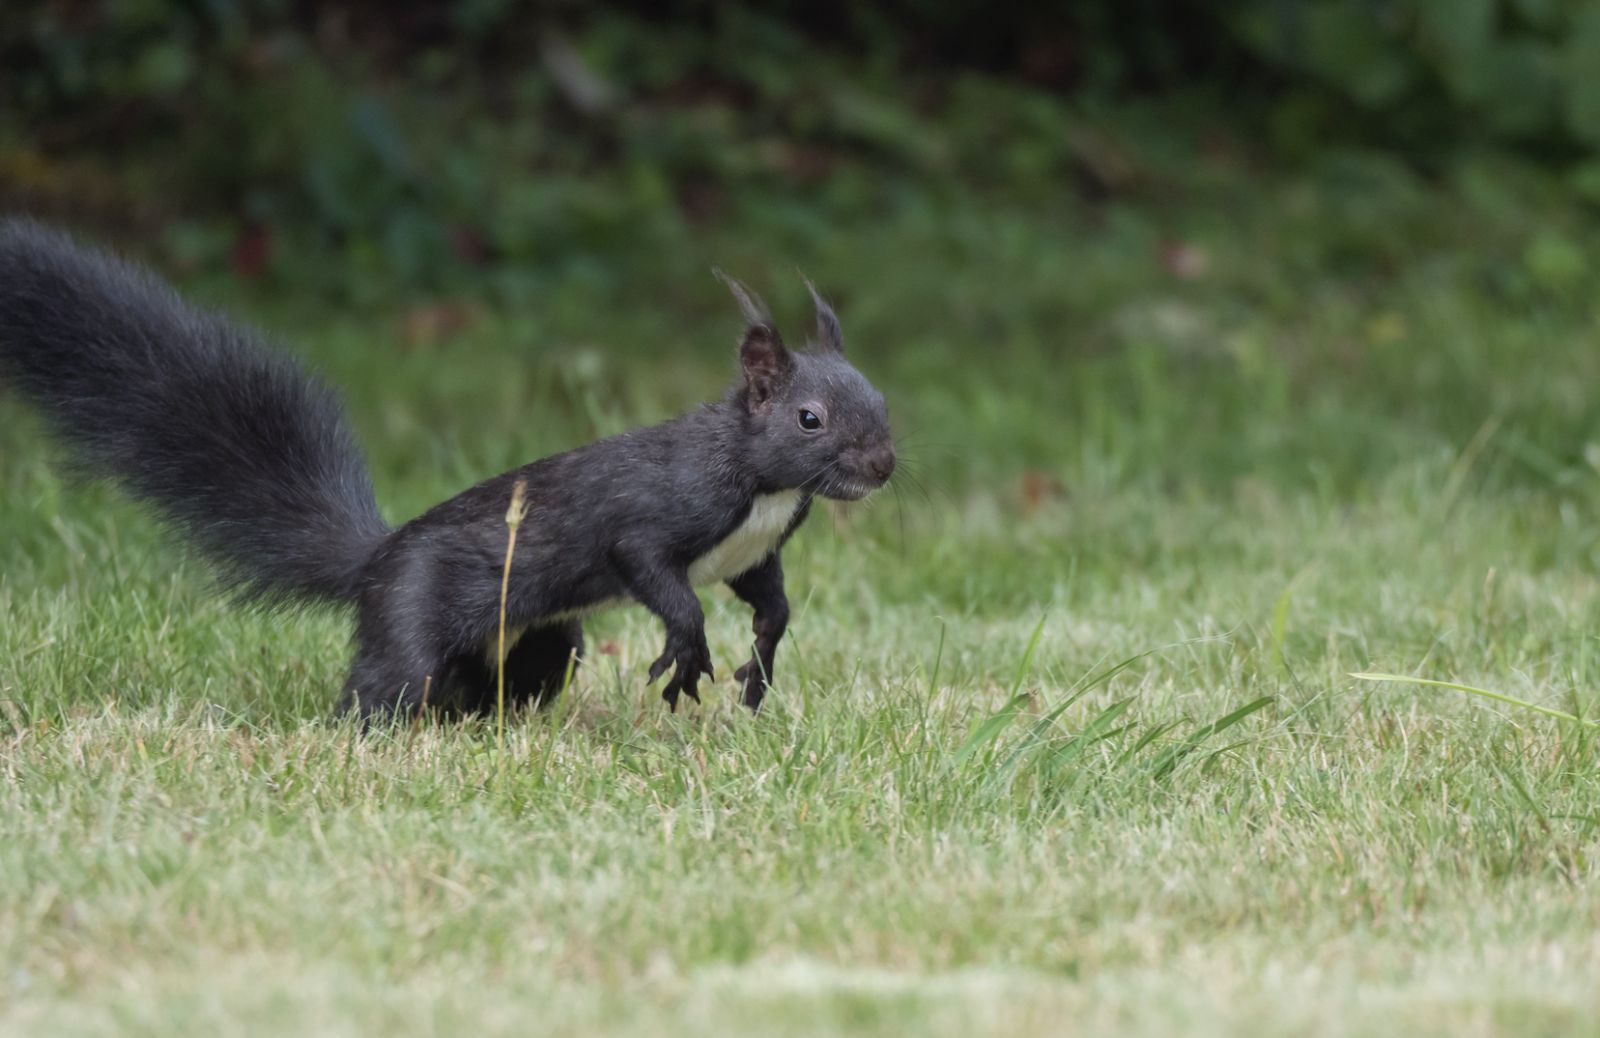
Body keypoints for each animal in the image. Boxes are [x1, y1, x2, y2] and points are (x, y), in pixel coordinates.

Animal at [0, 219, 896, 719]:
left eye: (882, 397)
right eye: (809, 418)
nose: (883, 464)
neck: (768, 487)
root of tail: (373, 561)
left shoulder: (755, 549)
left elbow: (769, 600)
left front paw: (761, 661)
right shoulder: (663, 510)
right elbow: (653, 571)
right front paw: (687, 656)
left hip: (547, 640)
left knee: (501, 684)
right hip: (411, 621)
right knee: (383, 686)